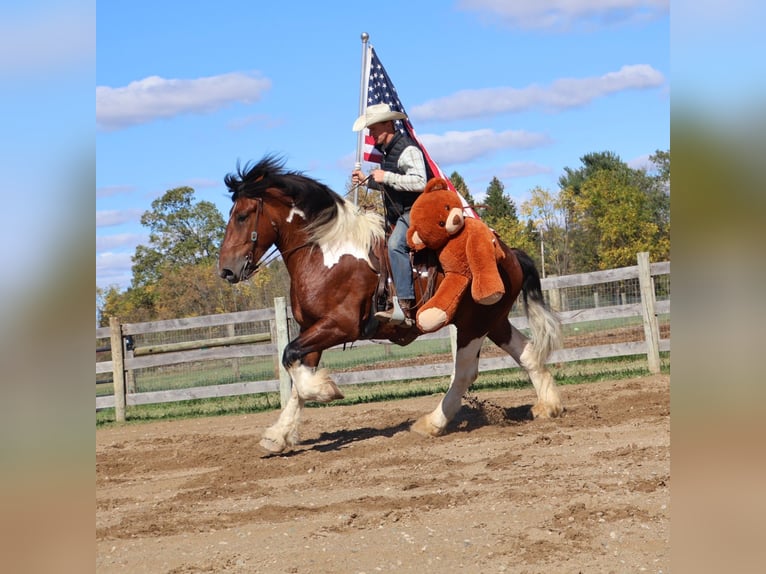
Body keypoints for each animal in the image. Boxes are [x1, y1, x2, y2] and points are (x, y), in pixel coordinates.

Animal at [218, 155, 563, 454]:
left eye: (242, 215)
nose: (226, 270)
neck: (326, 251)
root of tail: (509, 252)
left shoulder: (340, 326)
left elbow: (291, 358)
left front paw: (326, 391)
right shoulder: (311, 328)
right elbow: (297, 372)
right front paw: (278, 434)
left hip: (473, 324)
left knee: (465, 372)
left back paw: (432, 423)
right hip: (492, 322)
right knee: (527, 353)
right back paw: (549, 406)